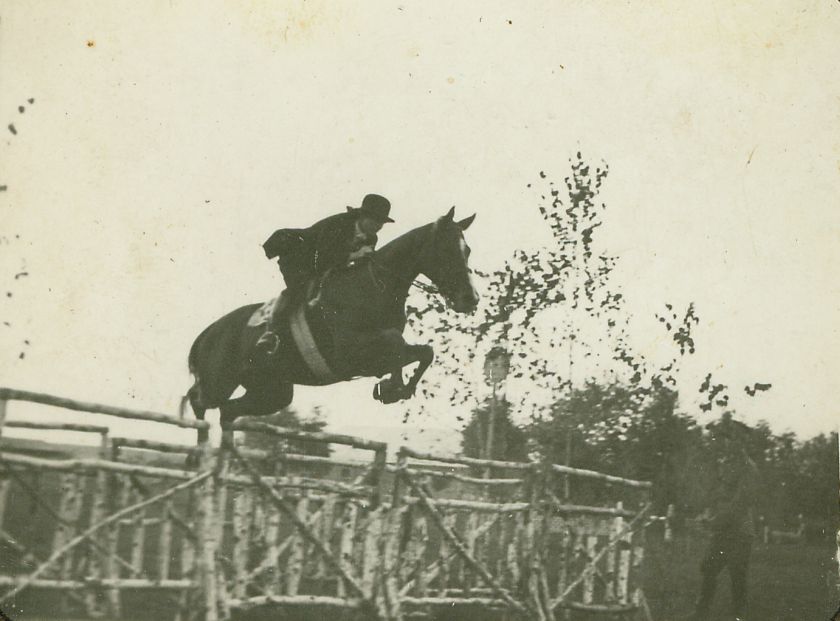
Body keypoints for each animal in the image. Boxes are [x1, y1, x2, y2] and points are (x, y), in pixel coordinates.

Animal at [180, 207, 478, 434]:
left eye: (468, 251)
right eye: (446, 250)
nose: (470, 299)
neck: (374, 287)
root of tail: (207, 333)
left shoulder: (377, 355)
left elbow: (423, 352)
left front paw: (394, 389)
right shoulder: (349, 354)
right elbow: (396, 342)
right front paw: (392, 387)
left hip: (272, 390)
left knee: (228, 411)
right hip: (220, 381)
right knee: (198, 401)